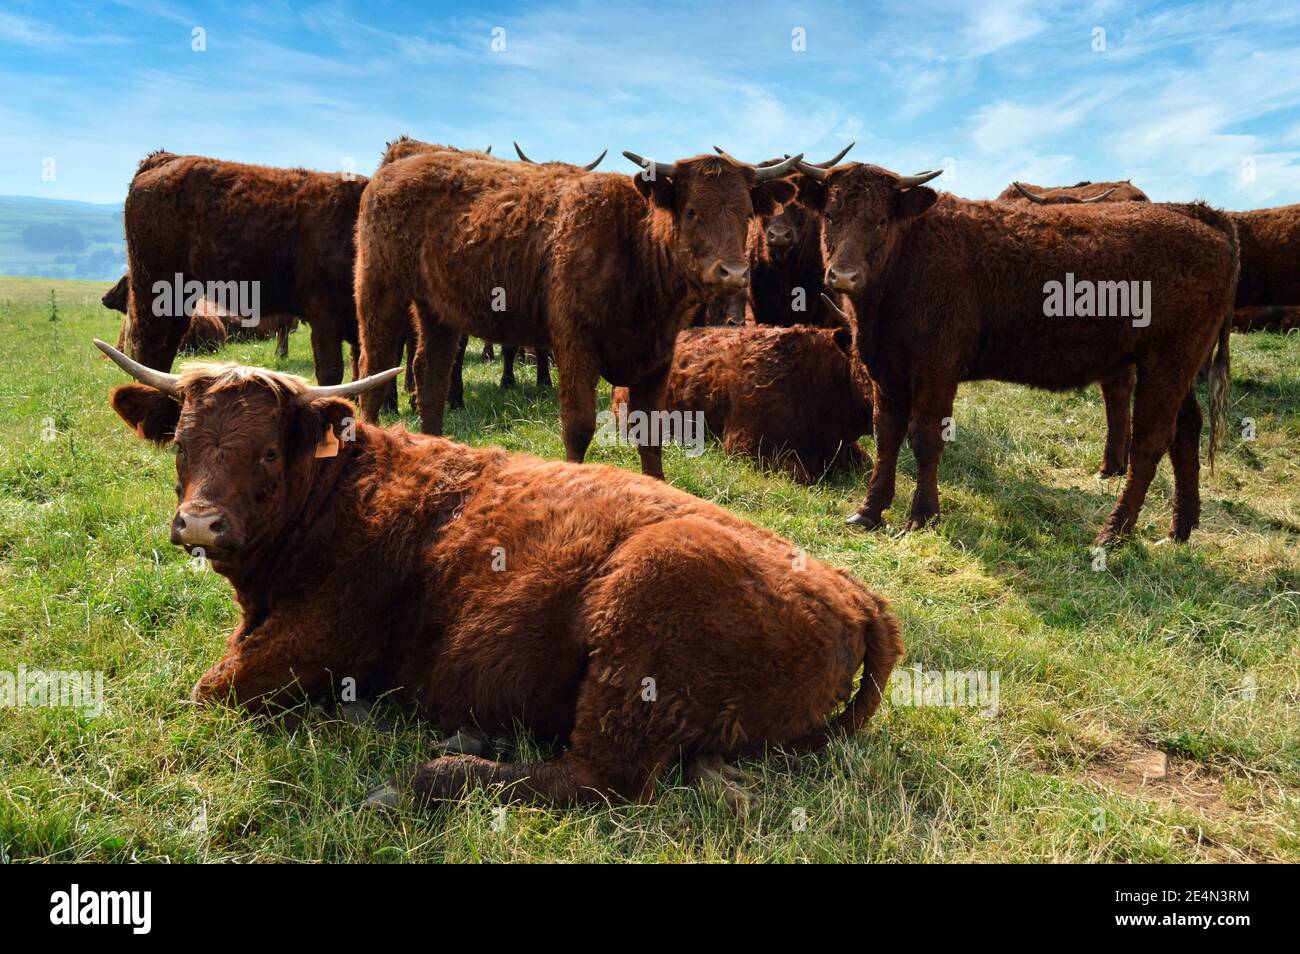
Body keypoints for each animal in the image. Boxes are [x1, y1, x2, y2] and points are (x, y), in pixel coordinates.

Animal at [122, 153, 366, 384]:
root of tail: (165, 158)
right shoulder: (324, 314)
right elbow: (332, 372)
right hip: (153, 288)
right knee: (148, 344)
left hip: (180, 296)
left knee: (167, 345)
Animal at [800, 158, 1237, 545]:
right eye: (831, 215)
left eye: (880, 220)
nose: (844, 276)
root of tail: (1201, 217)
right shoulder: (887, 370)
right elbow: (886, 435)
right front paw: (869, 511)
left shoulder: (938, 367)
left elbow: (924, 436)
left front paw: (921, 517)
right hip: (1180, 367)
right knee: (1186, 431)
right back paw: (1180, 529)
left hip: (1166, 362)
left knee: (1150, 441)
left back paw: (1113, 533)